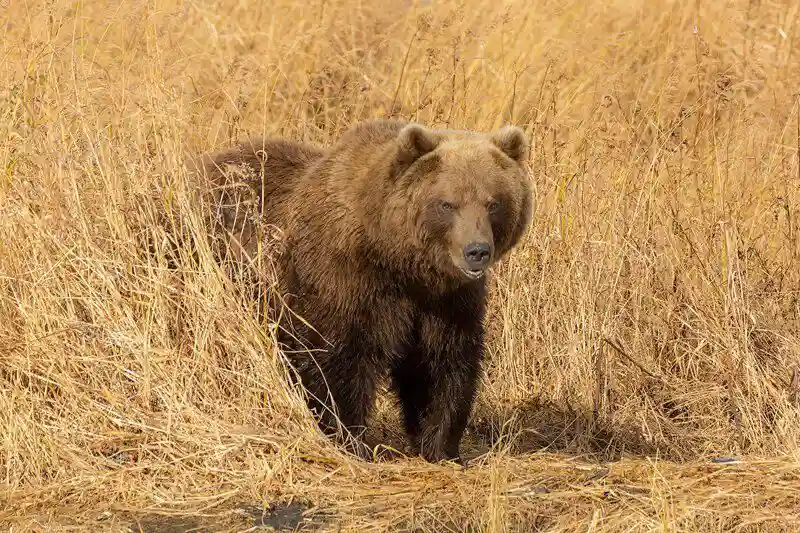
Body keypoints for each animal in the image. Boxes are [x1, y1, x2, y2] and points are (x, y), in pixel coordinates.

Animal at [192, 119, 532, 462]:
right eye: (447, 203)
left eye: (493, 203)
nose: (477, 251)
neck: (398, 261)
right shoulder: (344, 283)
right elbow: (337, 361)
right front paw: (351, 439)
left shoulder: (446, 302)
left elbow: (442, 363)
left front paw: (439, 445)